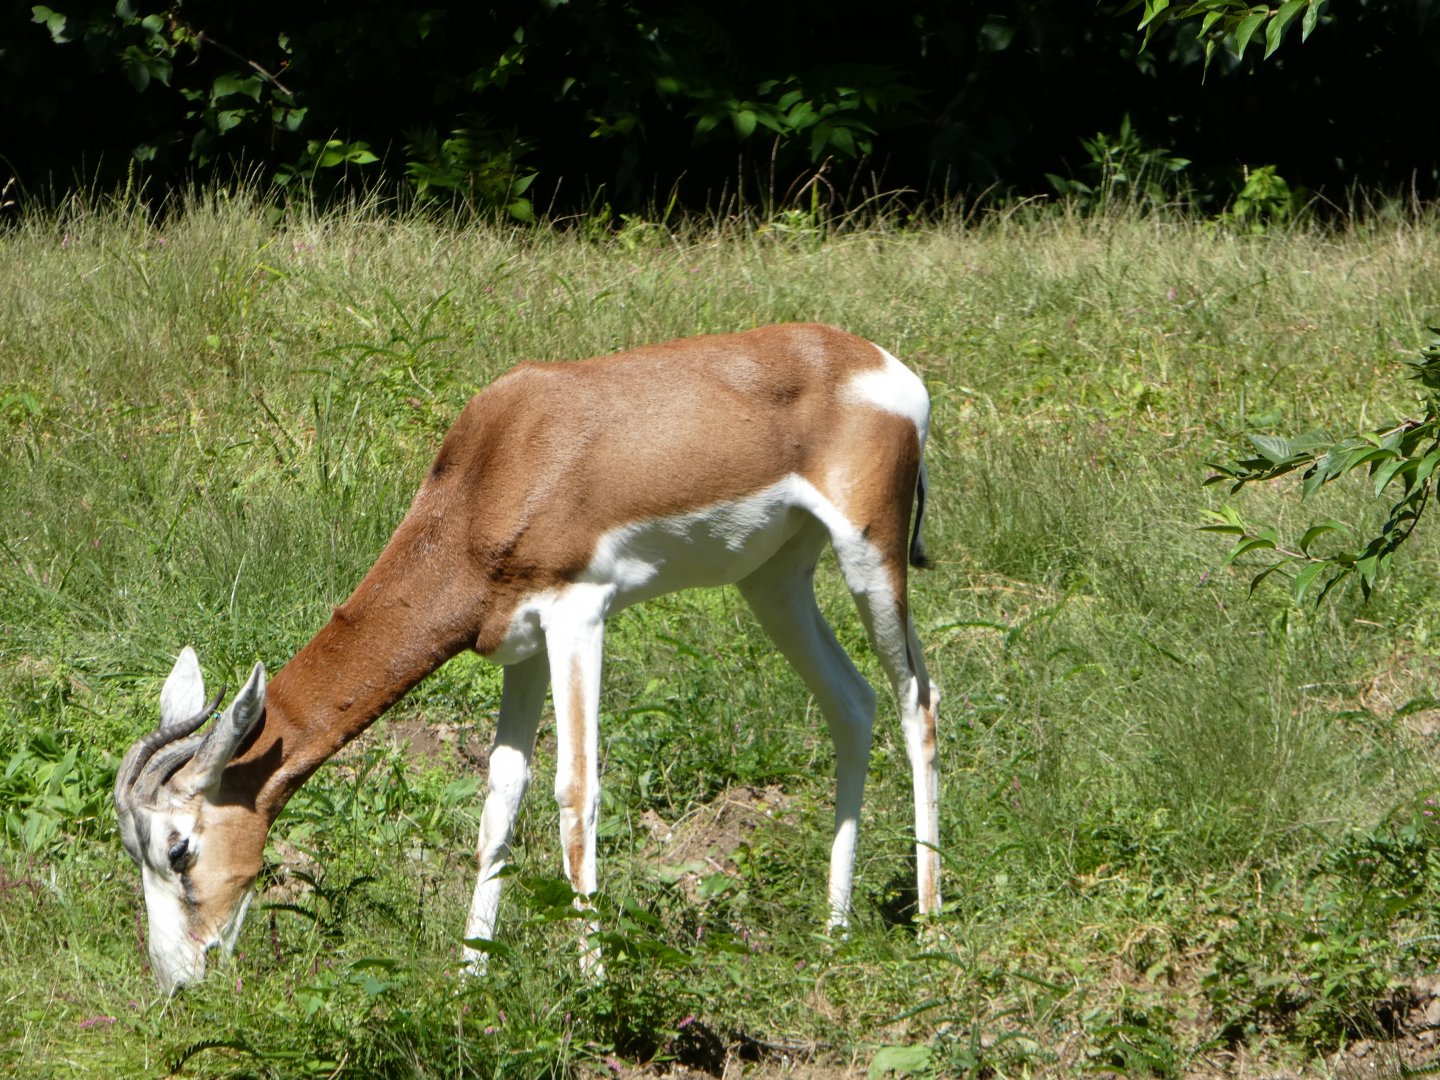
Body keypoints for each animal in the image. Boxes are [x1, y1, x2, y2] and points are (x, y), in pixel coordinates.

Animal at [114, 323, 941, 993]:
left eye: (179, 850)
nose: (178, 980)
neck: (500, 464)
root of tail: (879, 361)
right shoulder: (521, 646)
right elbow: (500, 799)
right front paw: (471, 977)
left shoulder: (580, 614)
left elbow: (575, 793)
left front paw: (593, 986)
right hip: (773, 582)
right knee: (852, 703)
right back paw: (834, 929)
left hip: (869, 553)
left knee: (918, 701)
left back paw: (932, 926)